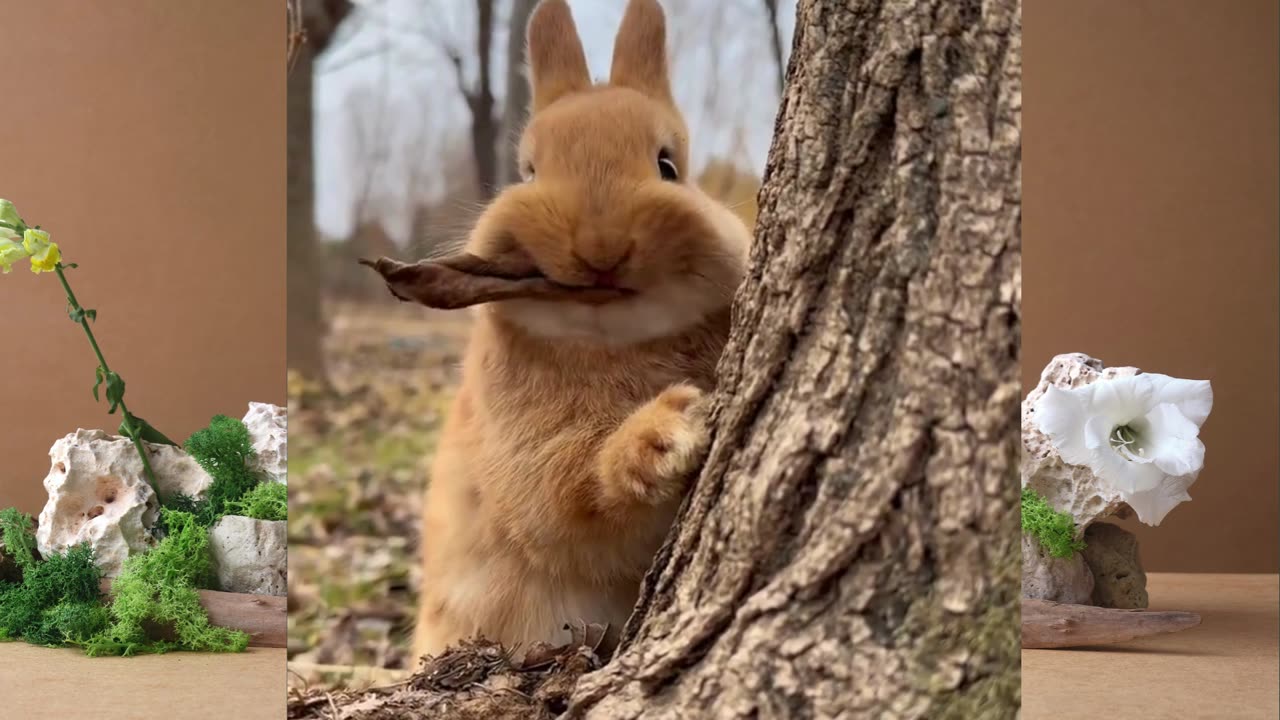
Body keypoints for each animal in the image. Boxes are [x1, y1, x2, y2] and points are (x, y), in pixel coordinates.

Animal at [366, 0, 747, 661]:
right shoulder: (532, 463)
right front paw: (667, 434)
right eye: (528, 171)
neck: (613, 338)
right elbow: (579, 490)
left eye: (668, 166)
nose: (601, 249)